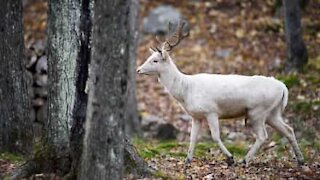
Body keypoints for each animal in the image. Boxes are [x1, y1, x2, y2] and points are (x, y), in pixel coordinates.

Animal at [136, 21, 304, 166]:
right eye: (149, 57)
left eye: (155, 60)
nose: (138, 69)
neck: (186, 90)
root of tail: (283, 87)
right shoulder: (196, 116)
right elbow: (192, 138)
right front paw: (187, 160)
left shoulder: (211, 111)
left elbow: (215, 136)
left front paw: (230, 158)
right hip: (272, 112)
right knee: (288, 130)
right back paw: (300, 160)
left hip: (258, 111)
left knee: (263, 135)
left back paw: (244, 160)